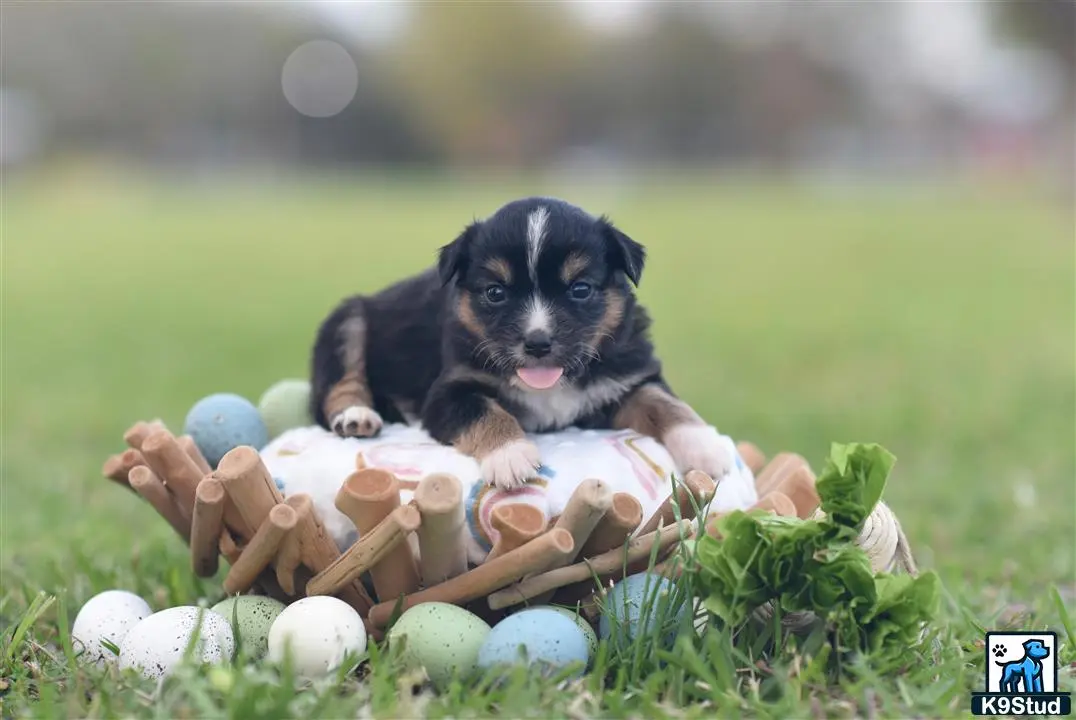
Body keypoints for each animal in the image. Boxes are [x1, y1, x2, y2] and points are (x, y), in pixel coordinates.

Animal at [307, 196, 735, 488]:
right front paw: (511, 456)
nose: (538, 343)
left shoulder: (627, 379)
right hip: (347, 320)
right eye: (495, 292)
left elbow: (664, 403)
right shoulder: (448, 392)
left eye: (580, 289)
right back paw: (357, 417)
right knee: (338, 386)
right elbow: (486, 410)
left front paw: (706, 446)